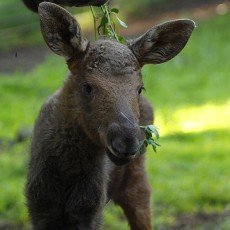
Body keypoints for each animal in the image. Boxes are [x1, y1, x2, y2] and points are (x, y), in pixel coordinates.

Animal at [25, 2, 194, 230]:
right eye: (87, 86)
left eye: (139, 88)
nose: (126, 142)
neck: (66, 173)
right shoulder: (40, 210)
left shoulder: (91, 212)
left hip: (137, 183)